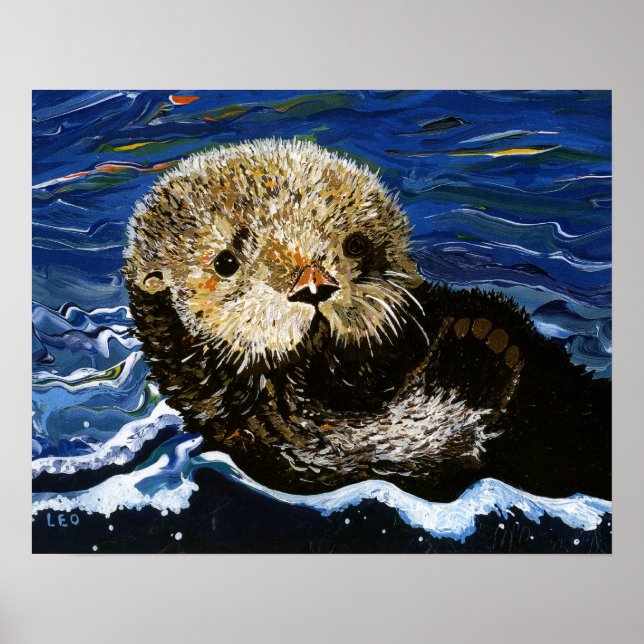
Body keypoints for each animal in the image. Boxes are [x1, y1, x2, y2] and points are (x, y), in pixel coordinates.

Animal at [123, 139, 611, 502]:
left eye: (355, 244)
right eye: (226, 262)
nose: (313, 285)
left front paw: (482, 317)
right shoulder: (291, 444)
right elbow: (412, 443)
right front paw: (481, 340)